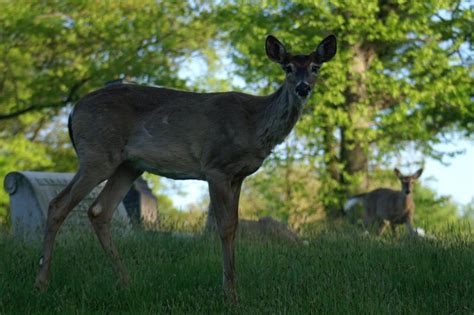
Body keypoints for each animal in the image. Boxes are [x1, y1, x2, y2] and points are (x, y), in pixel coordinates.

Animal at [33, 33, 336, 302]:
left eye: (315, 67)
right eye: (287, 68)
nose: (302, 88)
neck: (254, 125)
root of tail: (73, 111)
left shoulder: (238, 175)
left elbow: (235, 225)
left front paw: (232, 289)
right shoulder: (215, 167)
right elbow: (224, 227)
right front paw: (230, 295)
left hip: (129, 165)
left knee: (99, 211)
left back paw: (126, 282)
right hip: (97, 153)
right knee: (58, 205)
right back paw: (42, 283)